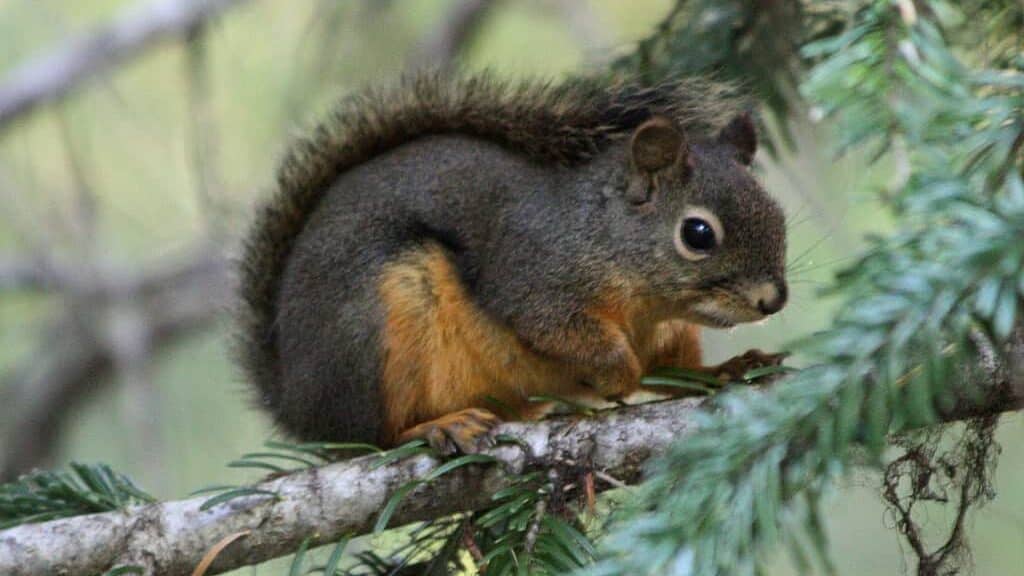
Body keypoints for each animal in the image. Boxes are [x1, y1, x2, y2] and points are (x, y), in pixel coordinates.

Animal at [236, 73, 788, 454]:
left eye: (778, 213)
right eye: (697, 234)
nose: (775, 299)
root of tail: (296, 403)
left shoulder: (667, 335)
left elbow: (674, 374)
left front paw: (727, 370)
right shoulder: (534, 277)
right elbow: (559, 331)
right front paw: (615, 373)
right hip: (378, 328)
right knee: (373, 437)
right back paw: (440, 426)